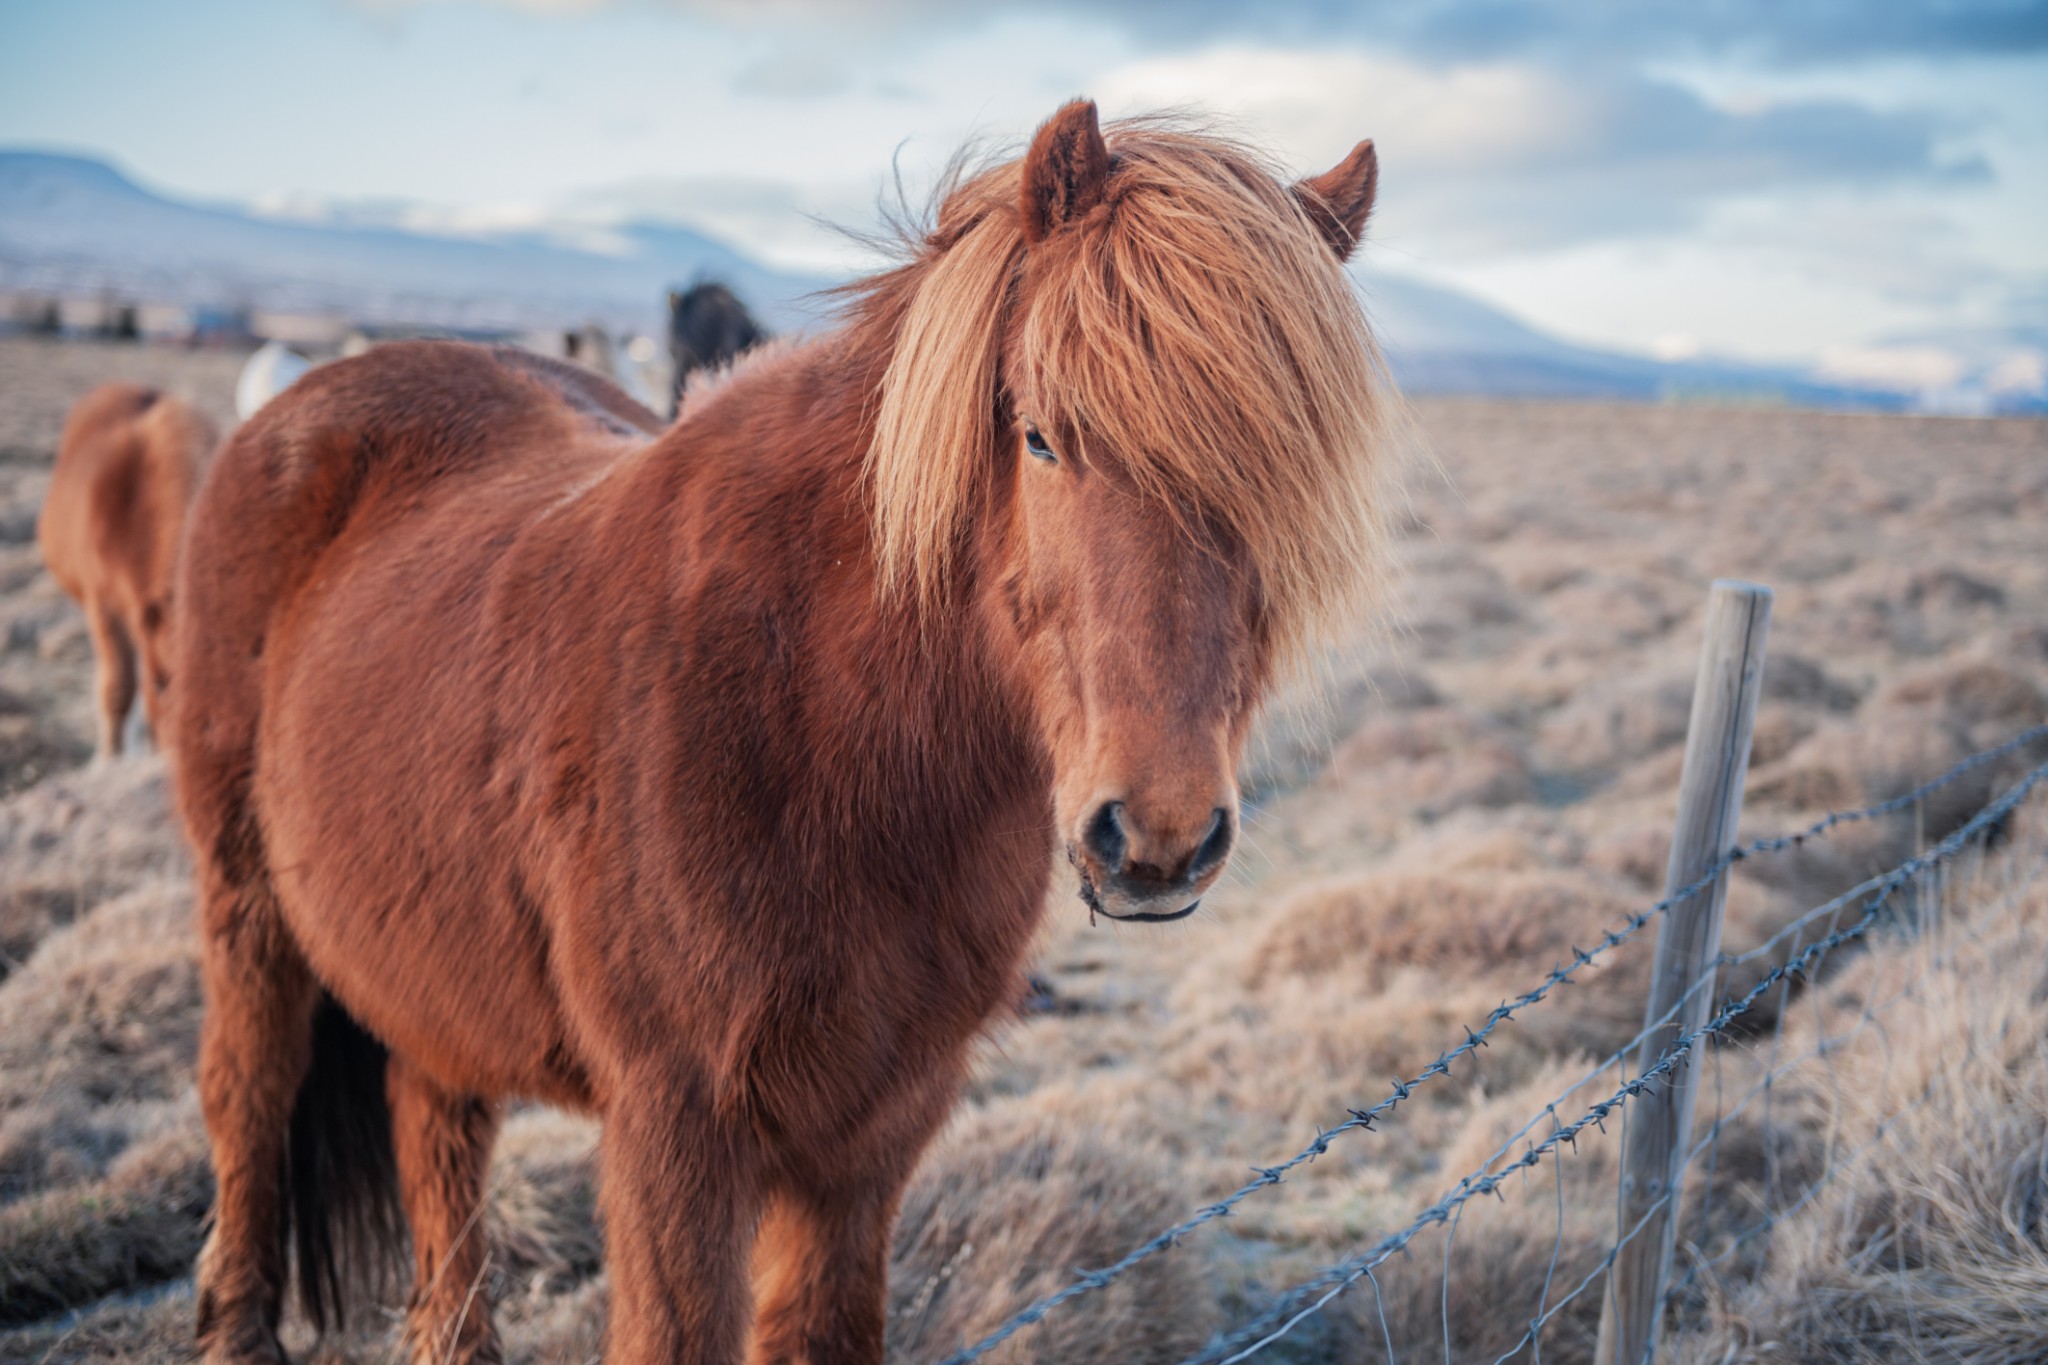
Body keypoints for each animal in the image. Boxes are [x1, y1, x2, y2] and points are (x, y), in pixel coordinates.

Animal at [172, 101, 1392, 1358]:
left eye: (1285, 484)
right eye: (1041, 437)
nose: (1154, 834)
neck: (819, 724)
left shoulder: (874, 1135)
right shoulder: (676, 1132)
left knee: (436, 1139)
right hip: (248, 913)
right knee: (247, 1104)